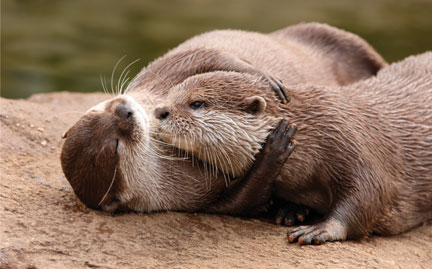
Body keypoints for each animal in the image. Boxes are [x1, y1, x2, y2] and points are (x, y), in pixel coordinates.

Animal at [155, 52, 432, 243]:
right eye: (170, 95)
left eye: (197, 103)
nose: (160, 111)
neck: (313, 130)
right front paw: (294, 210)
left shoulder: (350, 141)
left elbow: (370, 194)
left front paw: (319, 229)